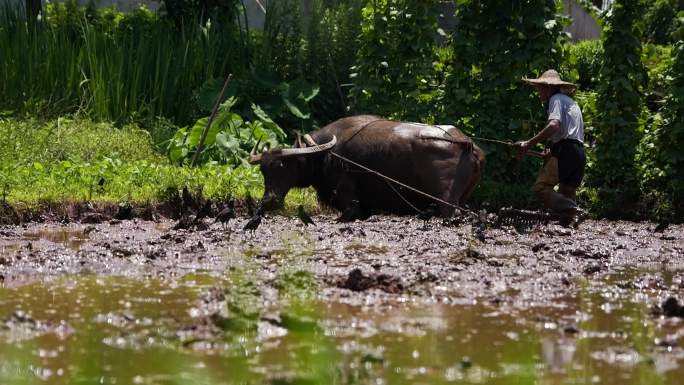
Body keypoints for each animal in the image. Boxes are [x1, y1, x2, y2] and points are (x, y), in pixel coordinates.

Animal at [248, 115, 484, 219]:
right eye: (263, 170)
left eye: (282, 166)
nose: (268, 200)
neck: (324, 155)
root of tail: (466, 143)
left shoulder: (347, 199)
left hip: (446, 202)